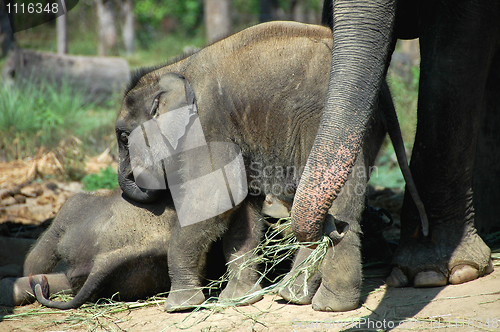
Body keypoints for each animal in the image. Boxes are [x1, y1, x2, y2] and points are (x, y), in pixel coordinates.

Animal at [117, 20, 426, 312]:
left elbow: (214, 200)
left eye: (122, 137)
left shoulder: (208, 129)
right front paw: (238, 299)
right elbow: (241, 210)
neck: (175, 69)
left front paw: (180, 306)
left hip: (320, 123)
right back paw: (297, 294)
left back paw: (324, 303)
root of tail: (384, 90)